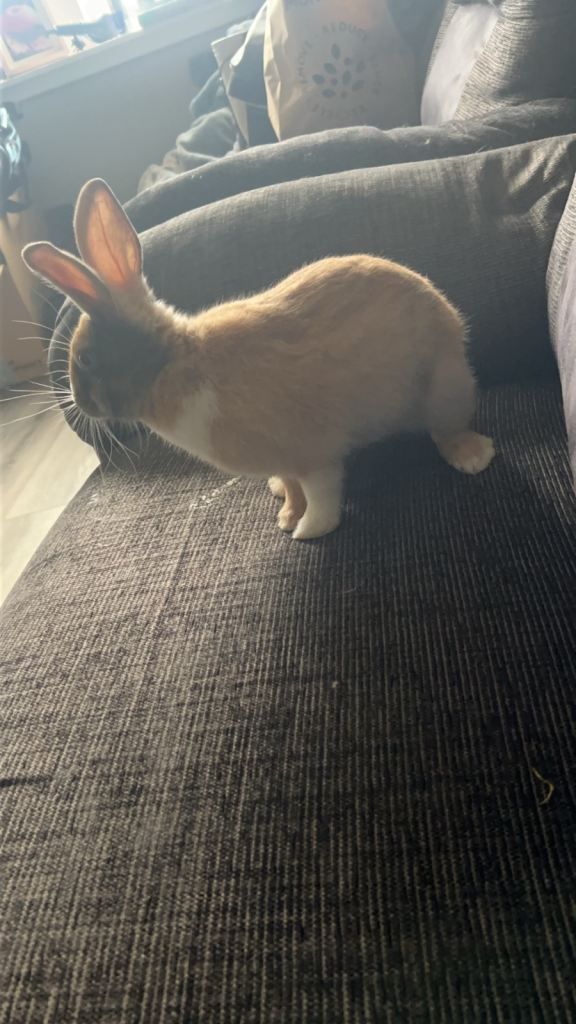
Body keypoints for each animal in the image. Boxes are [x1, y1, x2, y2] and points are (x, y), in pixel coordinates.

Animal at [23, 178, 494, 540]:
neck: (173, 363)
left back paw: (474, 457)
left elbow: (322, 495)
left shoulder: (313, 452)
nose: (77, 403)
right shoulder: (282, 459)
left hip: (442, 390)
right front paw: (286, 514)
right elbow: (291, 484)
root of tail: (451, 320)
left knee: (448, 429)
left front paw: (307, 531)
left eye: (84, 358)